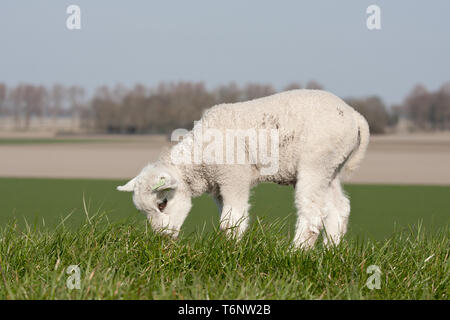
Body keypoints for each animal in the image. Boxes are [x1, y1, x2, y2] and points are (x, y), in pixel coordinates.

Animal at [116, 89, 370, 249]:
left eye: (162, 203)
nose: (161, 241)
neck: (198, 160)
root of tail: (354, 116)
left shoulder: (233, 177)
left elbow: (232, 219)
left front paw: (229, 251)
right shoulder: (219, 187)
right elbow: (230, 219)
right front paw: (231, 245)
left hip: (316, 162)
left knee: (312, 212)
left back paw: (296, 253)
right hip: (331, 167)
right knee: (339, 208)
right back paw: (330, 252)